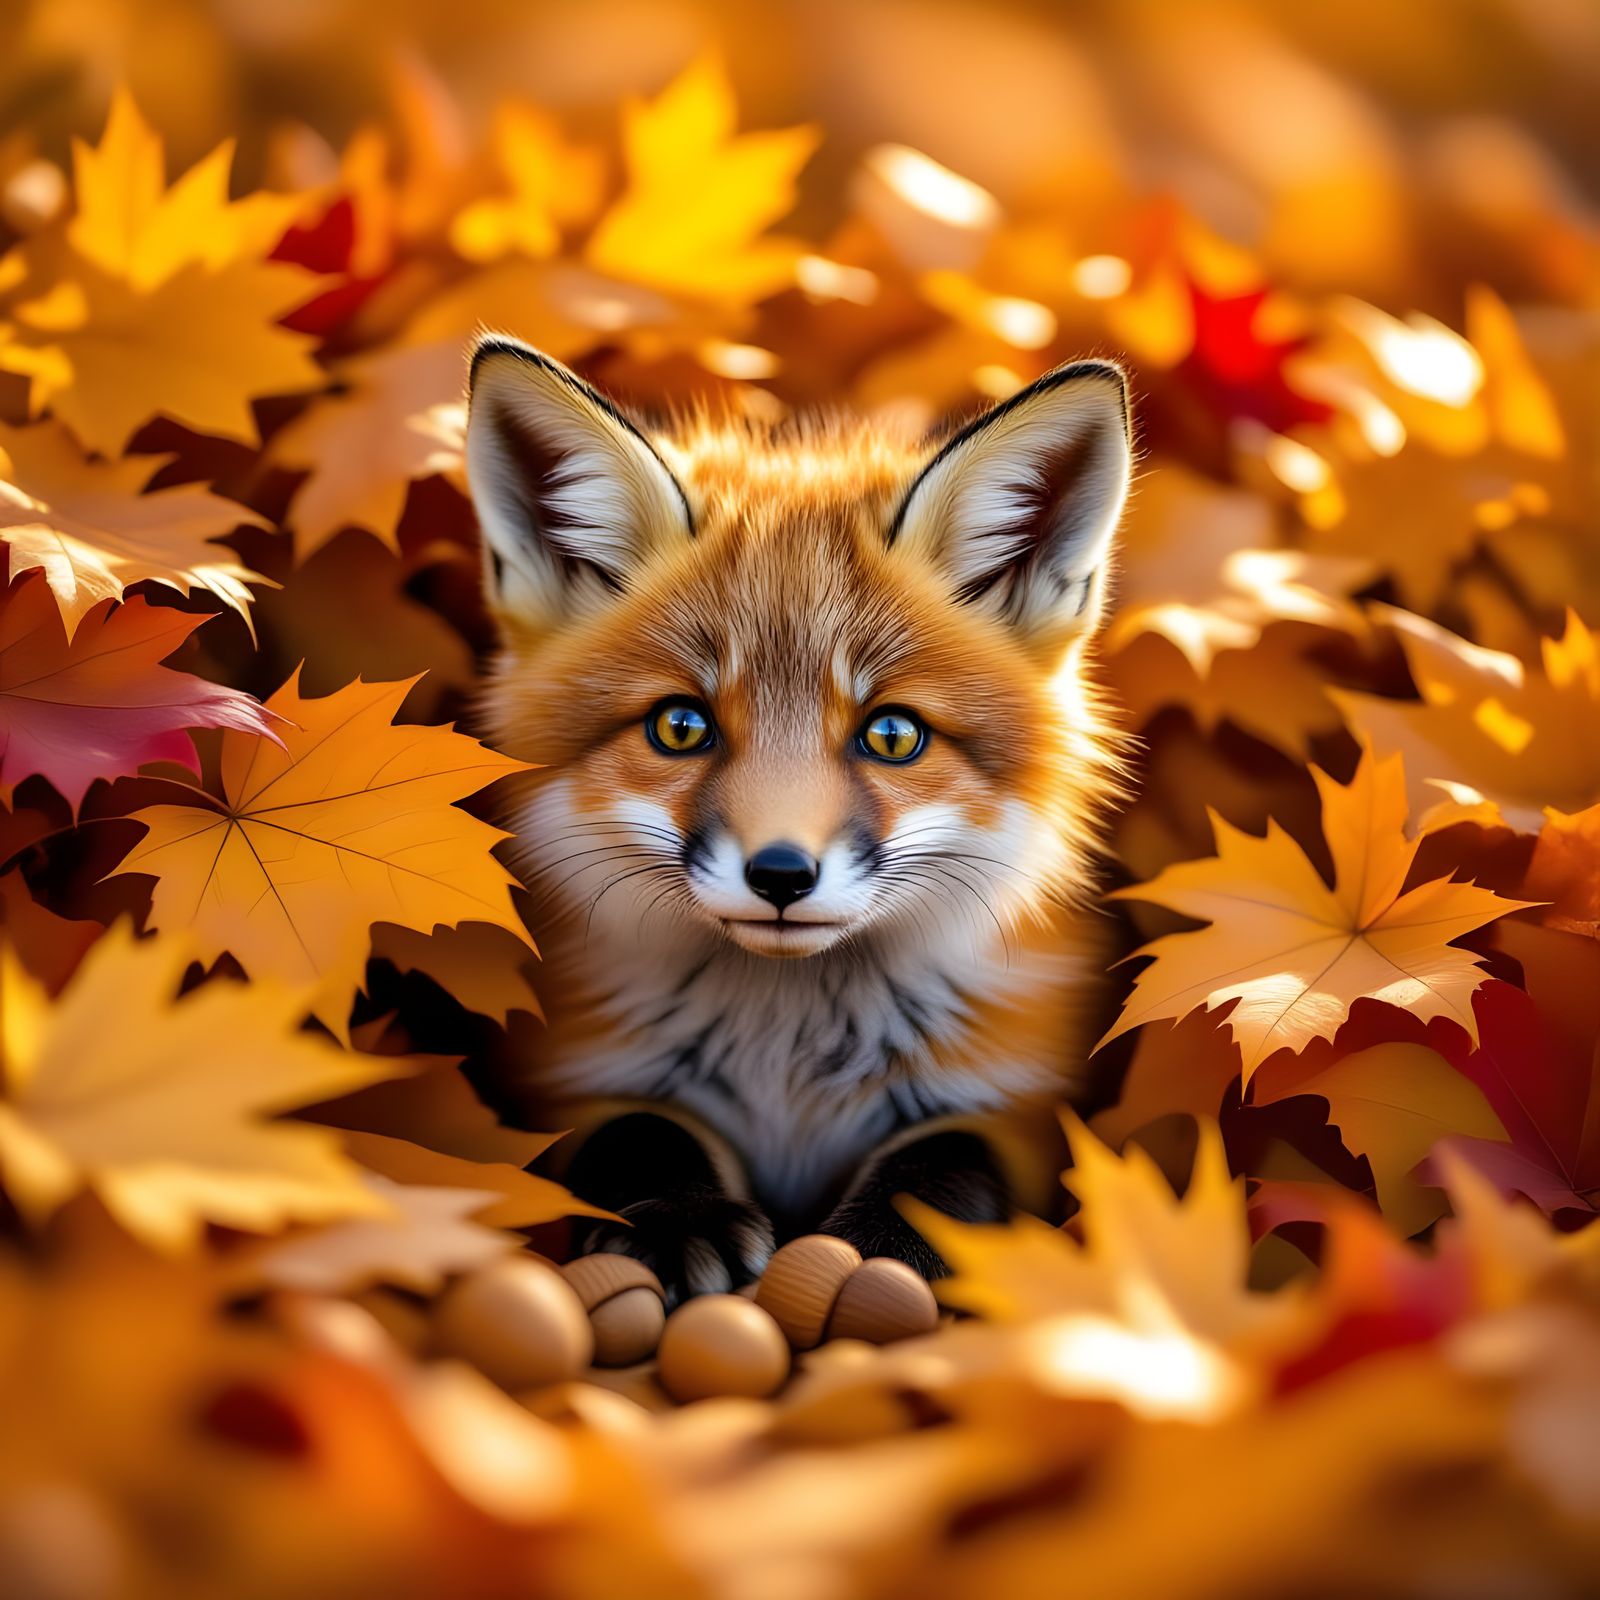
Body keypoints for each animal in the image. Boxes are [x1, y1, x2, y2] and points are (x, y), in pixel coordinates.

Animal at [464, 336, 1134, 1305]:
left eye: (892, 735)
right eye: (680, 727)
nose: (781, 876)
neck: (788, 1058)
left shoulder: (1023, 1106)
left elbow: (948, 1158)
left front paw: (887, 1246)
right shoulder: (573, 1081)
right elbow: (641, 1133)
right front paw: (680, 1221)